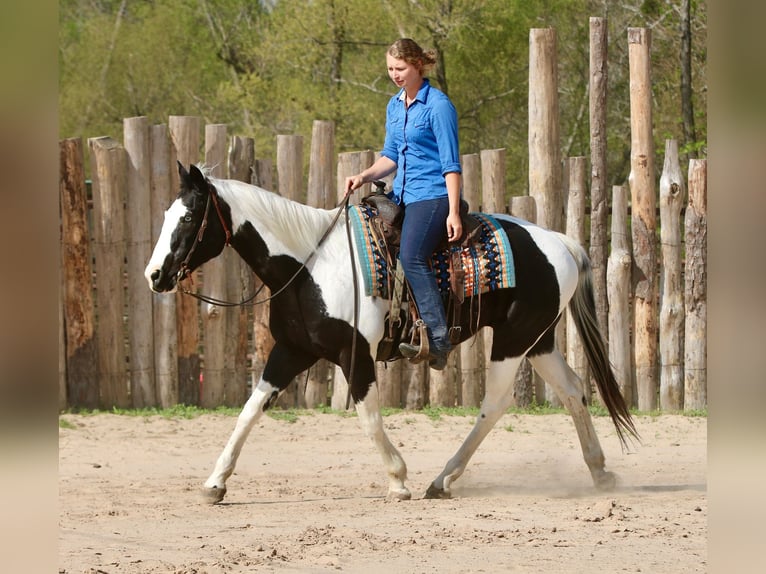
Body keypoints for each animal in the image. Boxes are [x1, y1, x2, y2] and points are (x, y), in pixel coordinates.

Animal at [145, 162, 638, 503]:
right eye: (166, 213)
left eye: (188, 218)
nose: (155, 276)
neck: (309, 264)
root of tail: (561, 243)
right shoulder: (290, 351)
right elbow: (250, 411)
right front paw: (215, 483)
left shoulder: (355, 355)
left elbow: (369, 417)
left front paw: (398, 479)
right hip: (539, 340)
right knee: (573, 389)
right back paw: (599, 471)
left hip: (514, 340)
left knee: (495, 403)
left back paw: (443, 479)